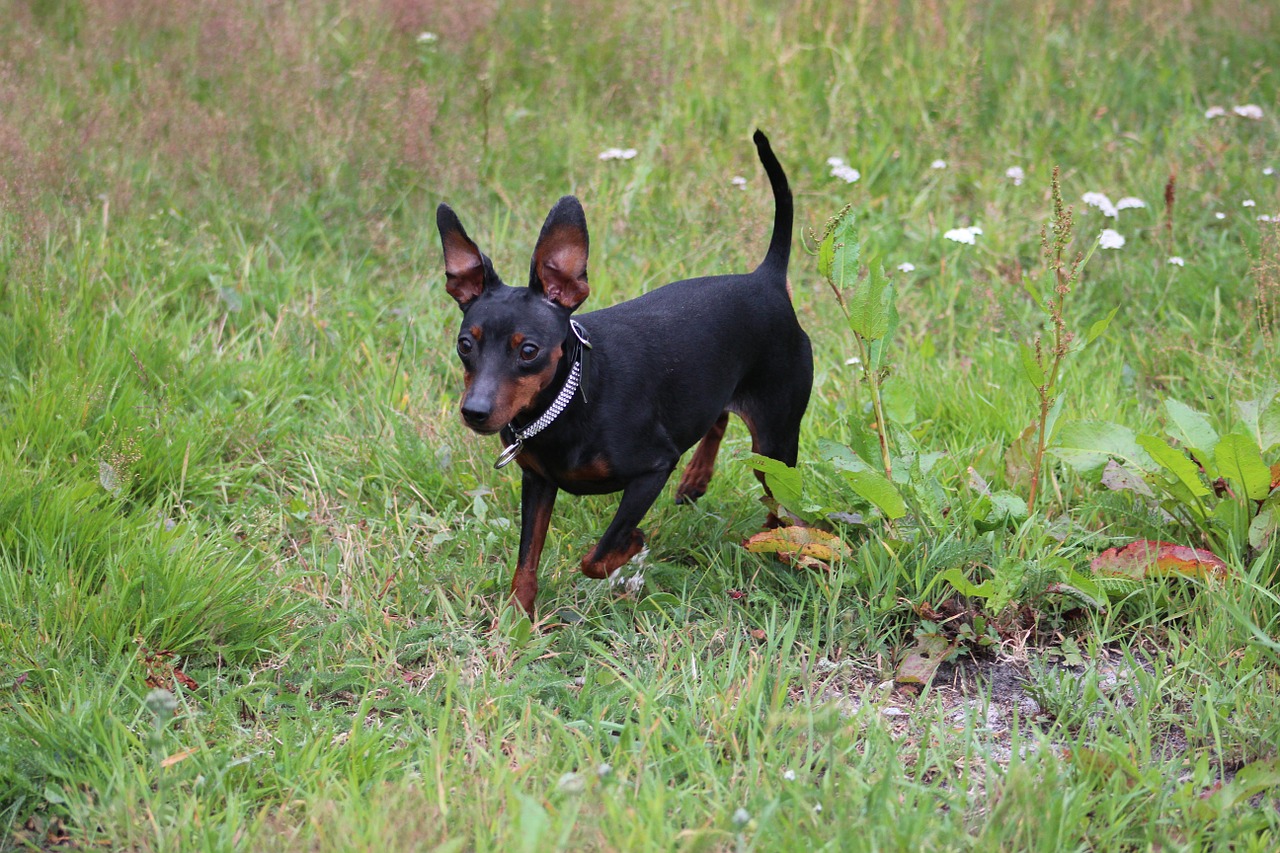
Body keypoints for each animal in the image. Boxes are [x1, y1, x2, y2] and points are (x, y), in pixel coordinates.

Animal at [437, 129, 808, 614]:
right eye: (466, 345)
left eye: (529, 351)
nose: (475, 412)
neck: (569, 403)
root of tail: (765, 279)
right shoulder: (538, 482)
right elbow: (526, 561)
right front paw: (518, 618)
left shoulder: (652, 468)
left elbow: (599, 554)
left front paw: (632, 541)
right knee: (717, 416)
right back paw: (697, 478)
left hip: (775, 442)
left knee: (776, 498)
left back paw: (773, 540)